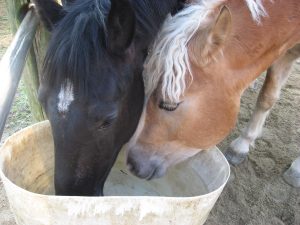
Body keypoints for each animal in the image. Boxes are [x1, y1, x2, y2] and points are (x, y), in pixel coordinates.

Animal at [126, 0, 300, 186]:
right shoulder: (285, 51)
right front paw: (242, 145)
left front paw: (296, 170)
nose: (132, 164)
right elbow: (267, 98)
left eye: (169, 105)